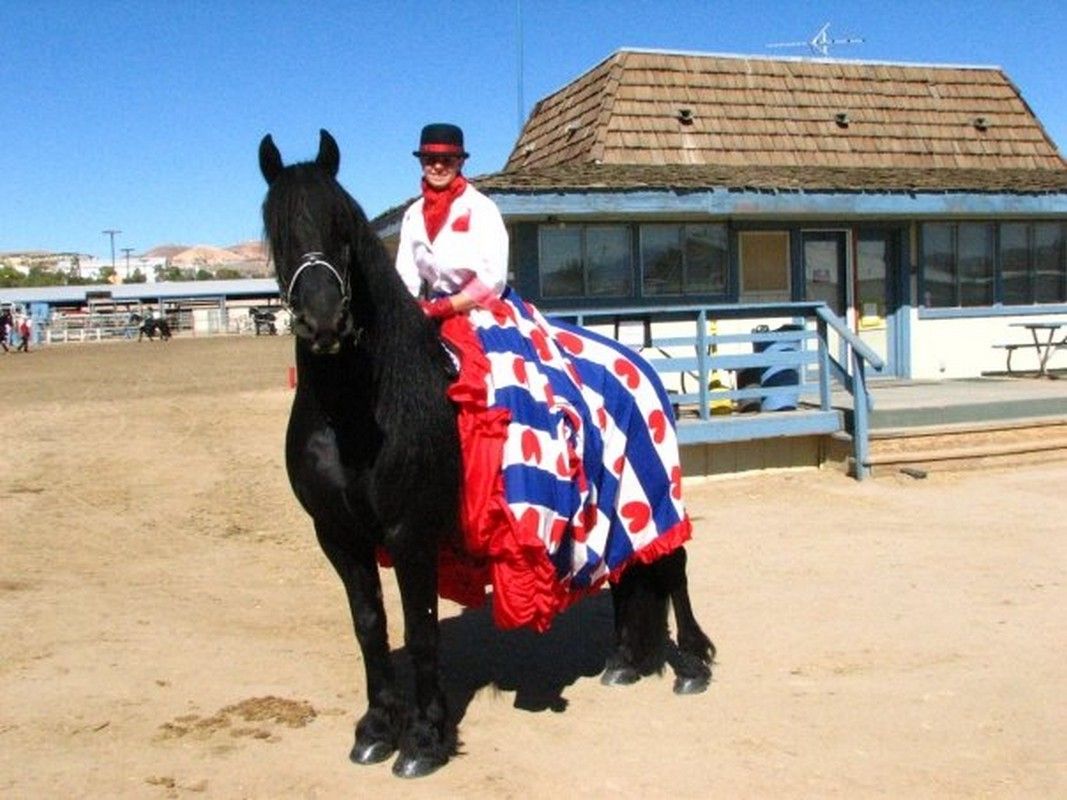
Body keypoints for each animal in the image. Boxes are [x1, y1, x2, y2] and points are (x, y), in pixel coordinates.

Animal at [258, 129, 714, 778]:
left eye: (342, 226)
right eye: (279, 231)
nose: (325, 321)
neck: (358, 412)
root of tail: (639, 361)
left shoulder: (411, 533)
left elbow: (421, 630)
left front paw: (424, 739)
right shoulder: (338, 536)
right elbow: (370, 627)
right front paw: (376, 729)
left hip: (655, 496)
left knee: (673, 567)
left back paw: (694, 666)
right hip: (616, 507)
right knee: (630, 571)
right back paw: (624, 661)